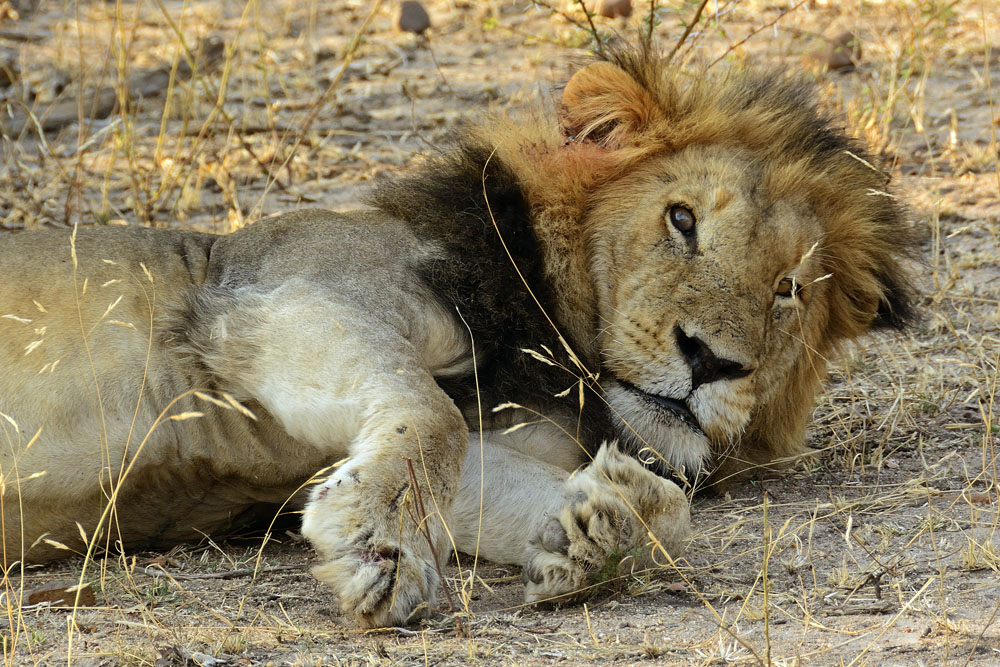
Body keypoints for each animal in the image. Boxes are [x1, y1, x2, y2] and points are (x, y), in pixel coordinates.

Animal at [0, 45, 915, 627]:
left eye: (788, 289)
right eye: (681, 220)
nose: (710, 359)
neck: (551, 345)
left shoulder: (322, 431)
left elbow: (501, 476)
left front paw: (597, 523)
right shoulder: (272, 295)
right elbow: (426, 421)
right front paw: (381, 538)